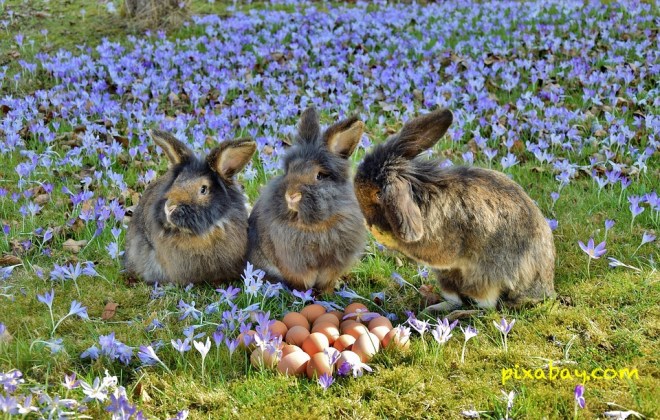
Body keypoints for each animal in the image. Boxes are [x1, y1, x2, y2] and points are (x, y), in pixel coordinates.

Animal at [248, 107, 367, 293]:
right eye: (289, 170)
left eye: (320, 176)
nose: (291, 195)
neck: (315, 226)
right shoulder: (295, 265)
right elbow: (303, 281)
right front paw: (304, 295)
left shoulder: (333, 266)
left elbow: (327, 282)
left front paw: (327, 294)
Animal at [354, 109, 555, 312]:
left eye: (379, 194)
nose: (367, 221)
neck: (419, 194)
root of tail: (542, 289)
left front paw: (380, 235)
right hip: (446, 277)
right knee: (455, 298)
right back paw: (433, 309)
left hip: (484, 278)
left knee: (484, 306)